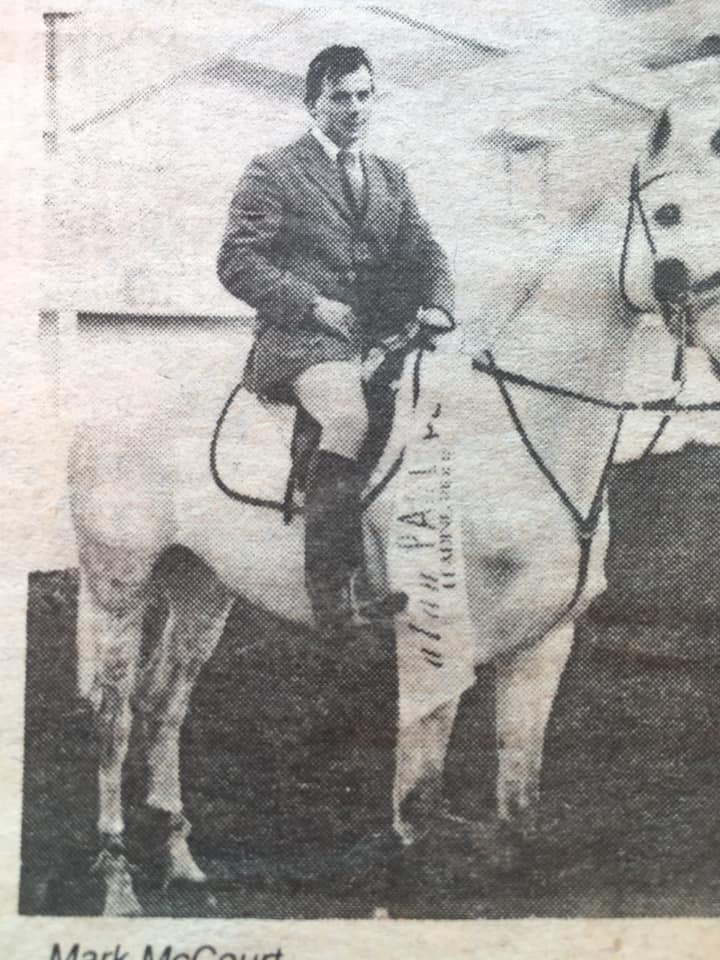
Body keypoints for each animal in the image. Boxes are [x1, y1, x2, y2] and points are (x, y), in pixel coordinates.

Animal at [67, 86, 720, 912]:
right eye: (668, 212)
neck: (507, 433)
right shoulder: (432, 631)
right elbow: (418, 794)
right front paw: (401, 888)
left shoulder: (546, 642)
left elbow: (519, 800)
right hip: (118, 585)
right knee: (113, 718)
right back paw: (118, 880)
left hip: (202, 585)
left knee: (163, 703)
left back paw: (180, 858)